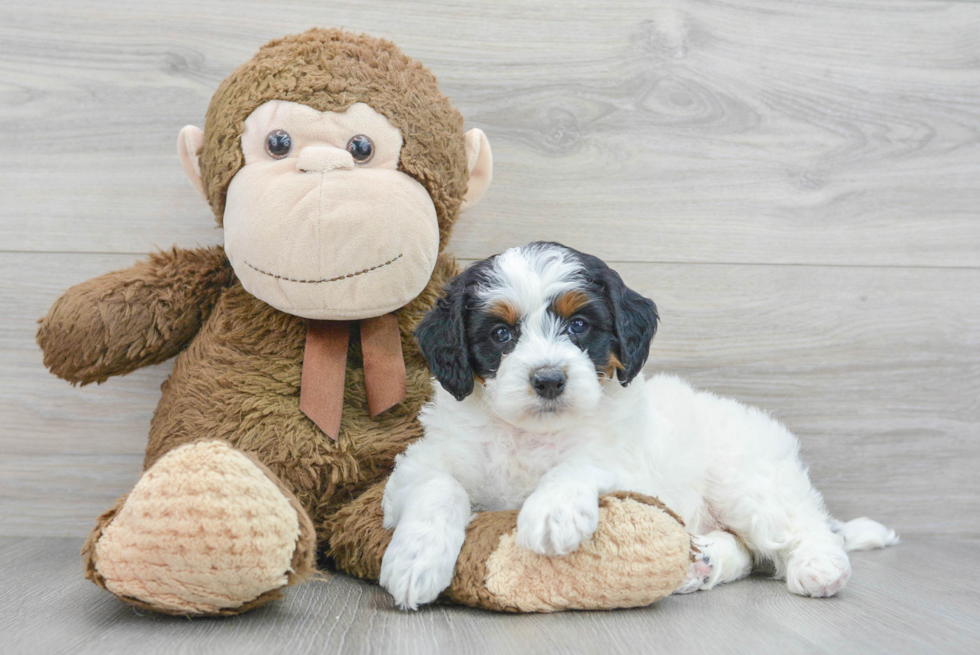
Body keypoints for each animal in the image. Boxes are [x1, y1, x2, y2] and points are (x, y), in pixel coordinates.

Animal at [378, 243, 900, 612]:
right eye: (502, 334)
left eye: (579, 326)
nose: (548, 380)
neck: (534, 434)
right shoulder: (419, 465)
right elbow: (439, 487)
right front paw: (415, 560)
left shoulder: (632, 467)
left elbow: (582, 463)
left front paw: (552, 510)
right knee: (748, 552)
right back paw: (703, 561)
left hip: (747, 478)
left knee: (800, 525)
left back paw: (819, 566)